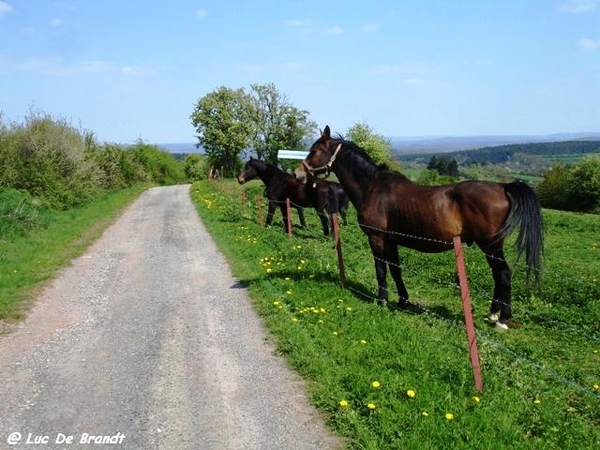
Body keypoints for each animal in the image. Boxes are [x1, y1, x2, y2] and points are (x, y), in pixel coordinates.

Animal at [296, 126, 544, 330]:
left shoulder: (376, 238)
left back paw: (502, 319)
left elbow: (381, 269)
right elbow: (395, 269)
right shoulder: (391, 240)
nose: (298, 174)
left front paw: (382, 300)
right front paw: (402, 301)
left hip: (490, 246)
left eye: (316, 150)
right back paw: (493, 314)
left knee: (502, 274)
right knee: (498, 275)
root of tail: (502, 187)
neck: (373, 188)